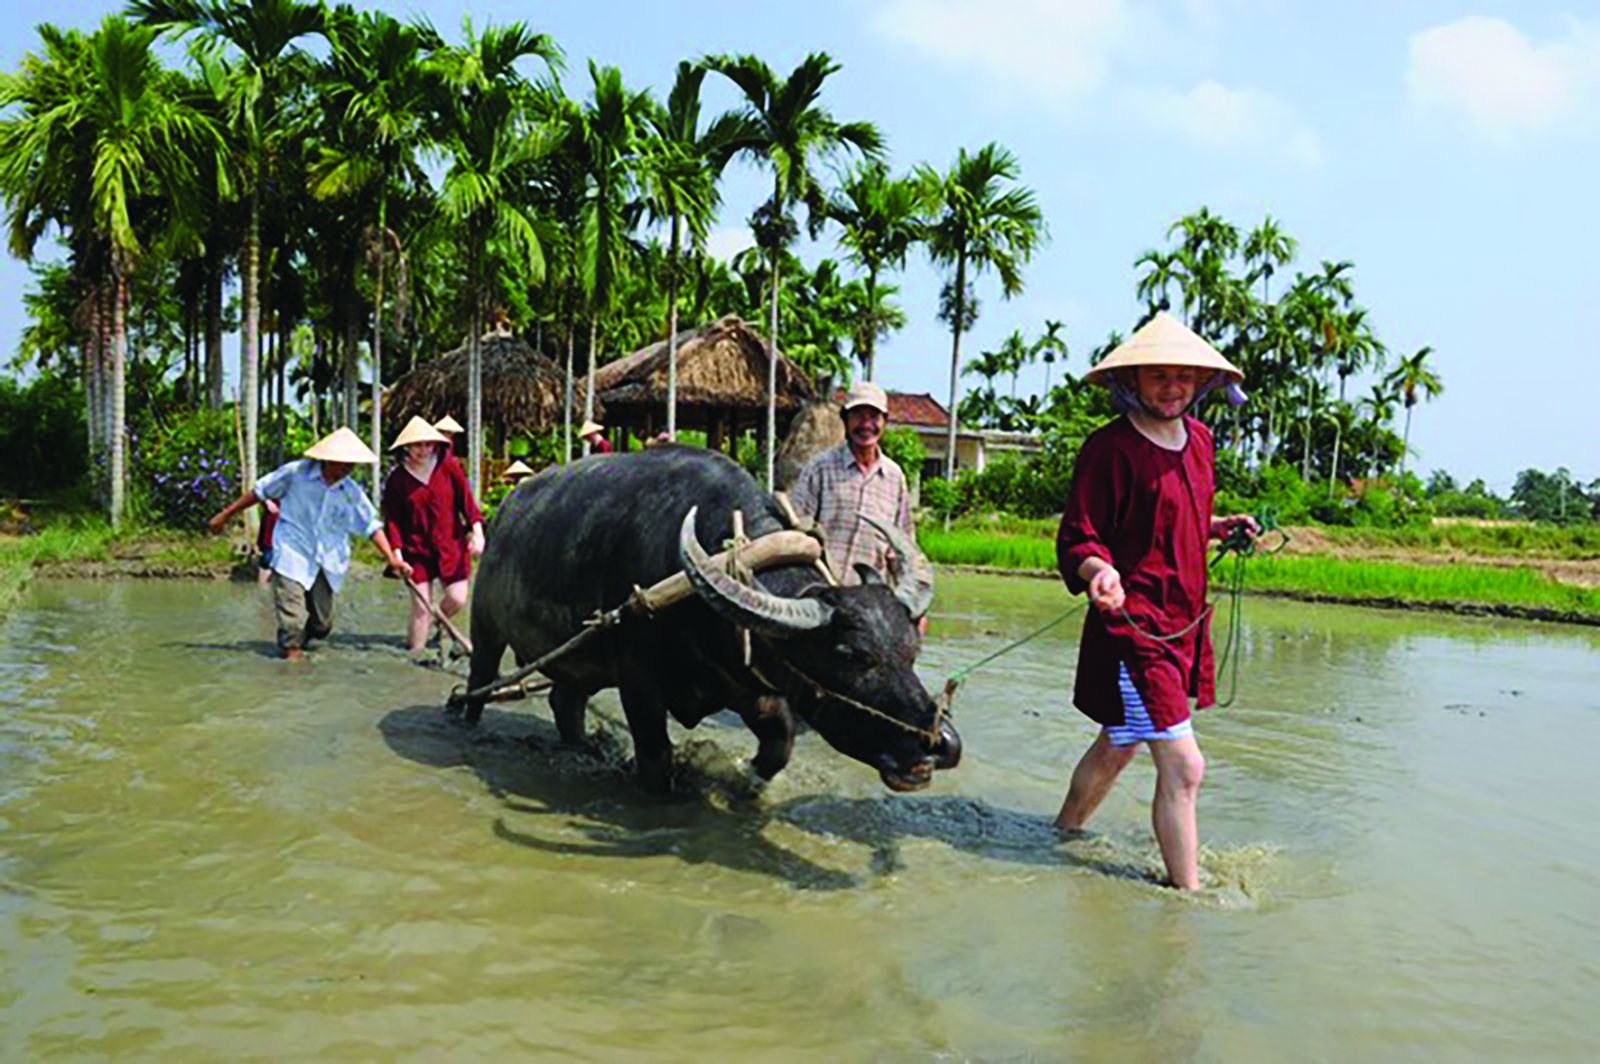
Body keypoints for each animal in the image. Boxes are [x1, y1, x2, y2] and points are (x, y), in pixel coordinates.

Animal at [464, 441, 960, 787]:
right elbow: (657, 759)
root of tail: (506, 509)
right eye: (850, 655)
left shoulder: (752, 681)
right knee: (479, 683)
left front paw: (749, 776)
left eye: (911, 651)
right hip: (486, 628)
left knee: (565, 701)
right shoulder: (639, 683)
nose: (938, 745)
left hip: (578, 660)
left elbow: (780, 744)